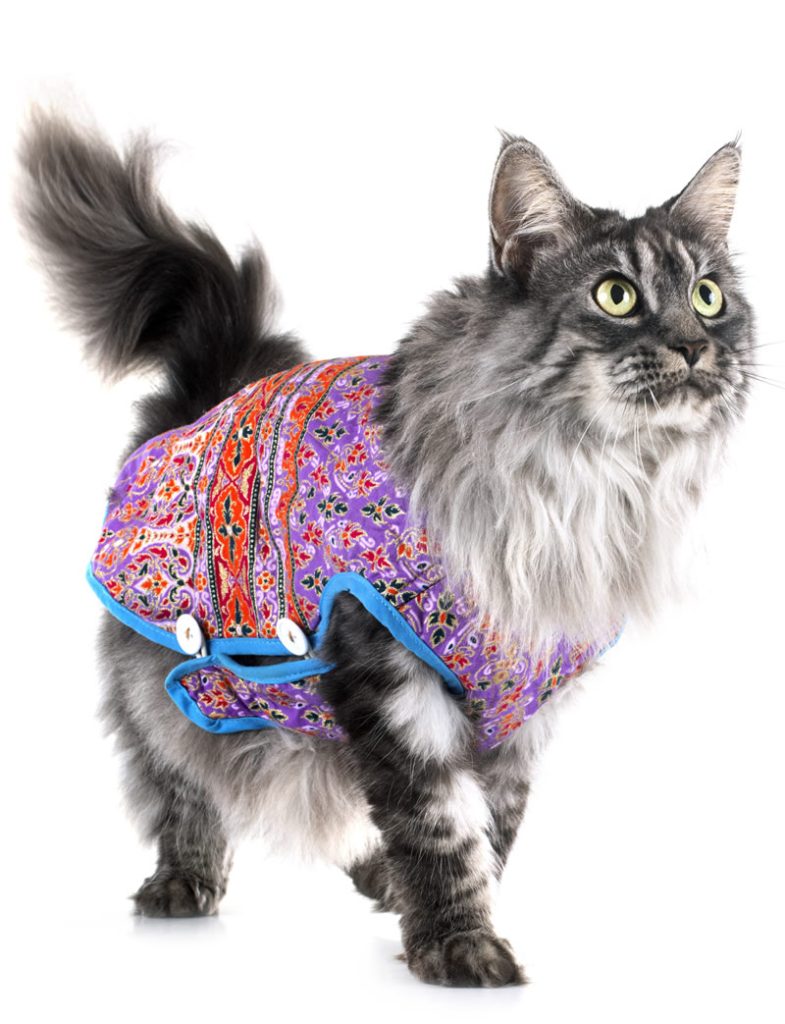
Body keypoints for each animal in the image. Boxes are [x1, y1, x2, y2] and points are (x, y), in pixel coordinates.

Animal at [18, 111, 754, 987]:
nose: (693, 346)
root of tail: (206, 397)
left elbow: (490, 828)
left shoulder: (522, 708)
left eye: (707, 297)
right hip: (166, 684)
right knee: (178, 780)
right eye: (617, 295)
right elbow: (438, 826)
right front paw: (457, 946)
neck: (586, 482)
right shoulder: (389, 677)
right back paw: (180, 884)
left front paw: (425, 913)